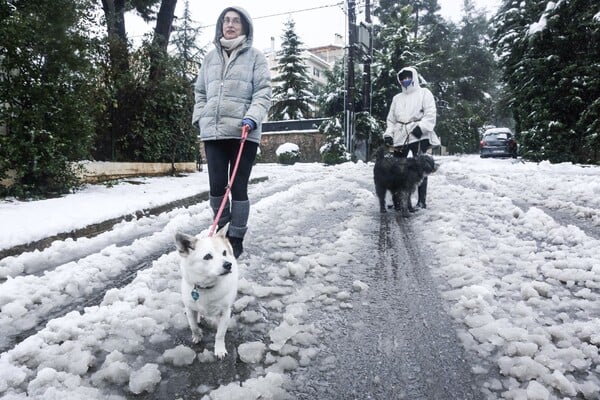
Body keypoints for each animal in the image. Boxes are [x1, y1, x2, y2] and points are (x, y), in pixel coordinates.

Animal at [175, 225, 238, 360]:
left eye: (224, 253)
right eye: (207, 256)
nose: (228, 264)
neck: (206, 287)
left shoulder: (225, 313)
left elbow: (220, 334)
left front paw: (219, 349)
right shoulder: (190, 308)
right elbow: (193, 326)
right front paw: (197, 335)